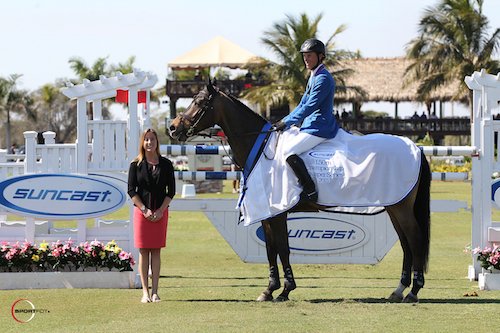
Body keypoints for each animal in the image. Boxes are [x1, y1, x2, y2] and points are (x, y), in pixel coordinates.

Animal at [168, 81, 430, 302]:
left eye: (200, 102)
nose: (172, 127)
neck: (261, 147)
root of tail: (415, 147)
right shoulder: (268, 214)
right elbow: (272, 250)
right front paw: (270, 289)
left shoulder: (277, 212)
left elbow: (283, 248)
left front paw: (285, 290)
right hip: (394, 205)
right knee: (406, 243)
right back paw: (399, 290)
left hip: (401, 207)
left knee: (415, 239)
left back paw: (413, 291)